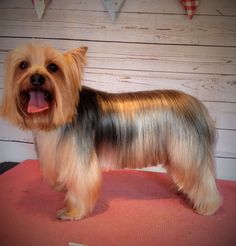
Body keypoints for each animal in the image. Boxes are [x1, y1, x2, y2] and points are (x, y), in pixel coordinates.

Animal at [0, 43, 221, 220]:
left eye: (53, 67)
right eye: (23, 65)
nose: (37, 78)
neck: (60, 113)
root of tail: (199, 107)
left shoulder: (80, 162)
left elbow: (80, 187)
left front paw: (72, 212)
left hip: (187, 150)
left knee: (203, 179)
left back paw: (208, 207)